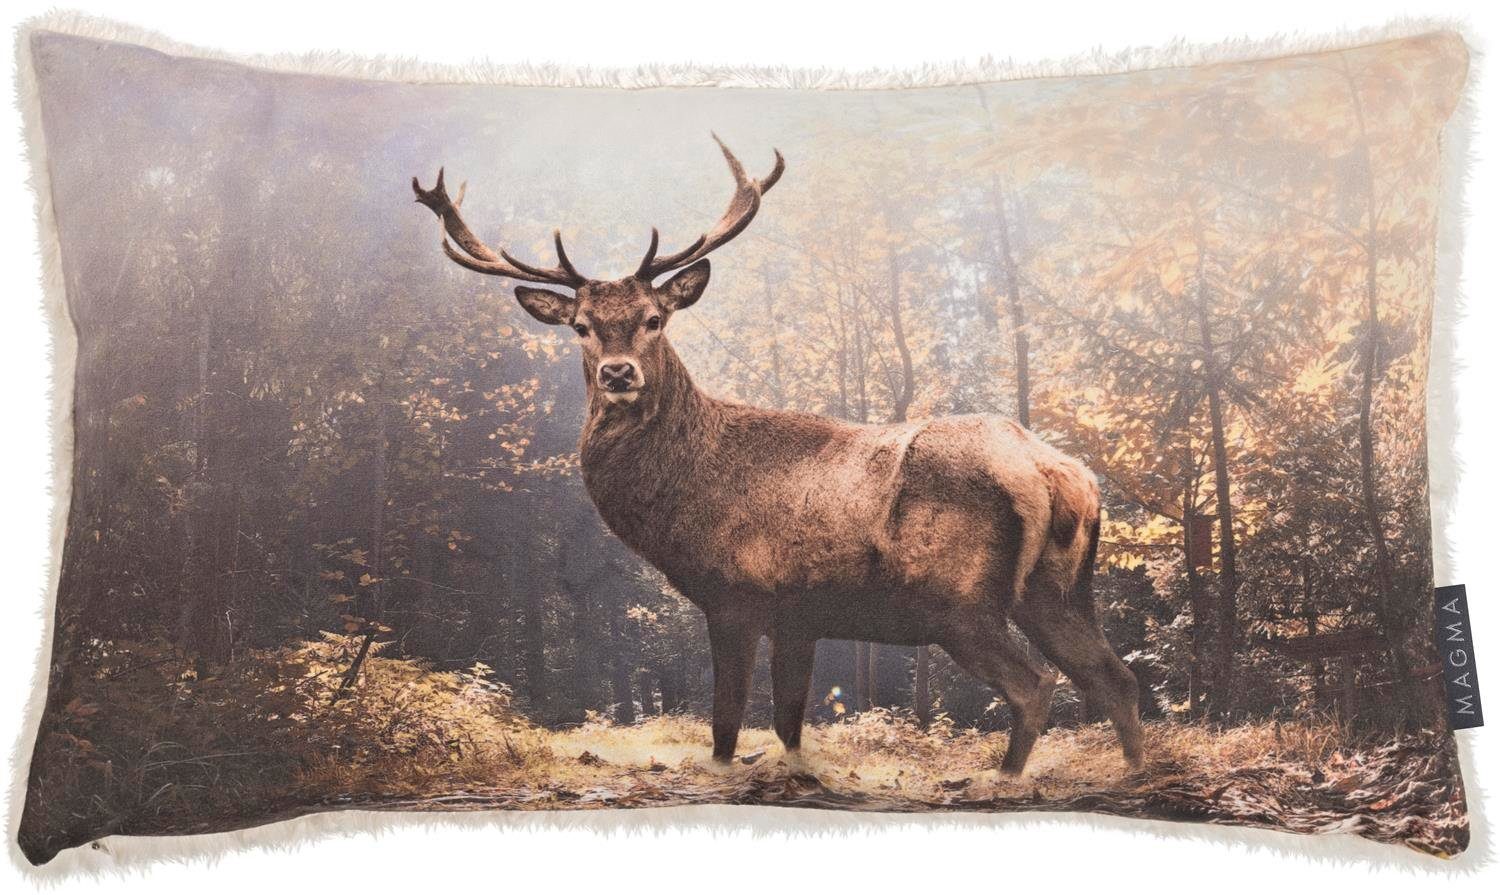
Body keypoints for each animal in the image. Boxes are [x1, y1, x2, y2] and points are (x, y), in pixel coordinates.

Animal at [412, 137, 1144, 775]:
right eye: (582, 326)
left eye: (655, 318)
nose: (619, 373)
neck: (682, 499)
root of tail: (1058, 472)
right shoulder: (801, 616)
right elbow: (790, 723)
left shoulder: (735, 592)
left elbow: (727, 724)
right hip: (1059, 590)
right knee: (1116, 676)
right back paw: (1132, 775)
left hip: (959, 598)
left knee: (1035, 684)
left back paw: (1008, 778)